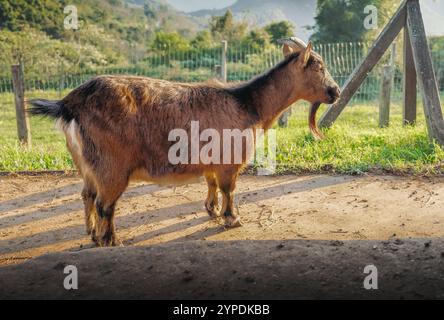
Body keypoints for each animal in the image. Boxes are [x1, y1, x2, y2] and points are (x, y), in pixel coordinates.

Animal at [28, 38, 340, 246]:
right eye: (319, 67)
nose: (336, 91)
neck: (247, 102)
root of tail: (70, 103)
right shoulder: (230, 161)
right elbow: (229, 189)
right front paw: (232, 218)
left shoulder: (211, 159)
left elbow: (211, 183)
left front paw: (211, 209)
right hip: (111, 167)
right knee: (105, 204)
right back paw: (111, 240)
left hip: (87, 166)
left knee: (87, 195)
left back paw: (93, 233)